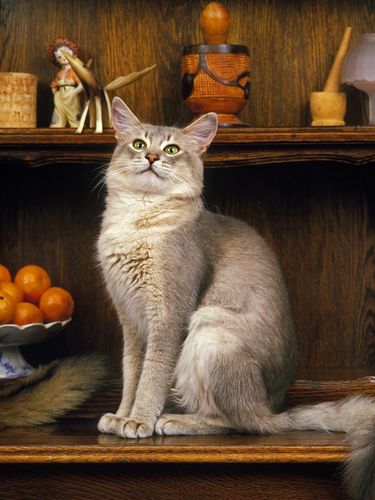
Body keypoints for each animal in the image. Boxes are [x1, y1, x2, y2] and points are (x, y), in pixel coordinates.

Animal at [96, 97, 375, 500]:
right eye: (137, 144)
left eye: (172, 149)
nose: (151, 157)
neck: (137, 221)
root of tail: (273, 408)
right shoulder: (131, 322)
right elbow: (132, 373)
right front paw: (121, 415)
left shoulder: (169, 316)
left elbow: (152, 375)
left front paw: (139, 420)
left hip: (210, 330)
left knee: (239, 423)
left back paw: (176, 421)